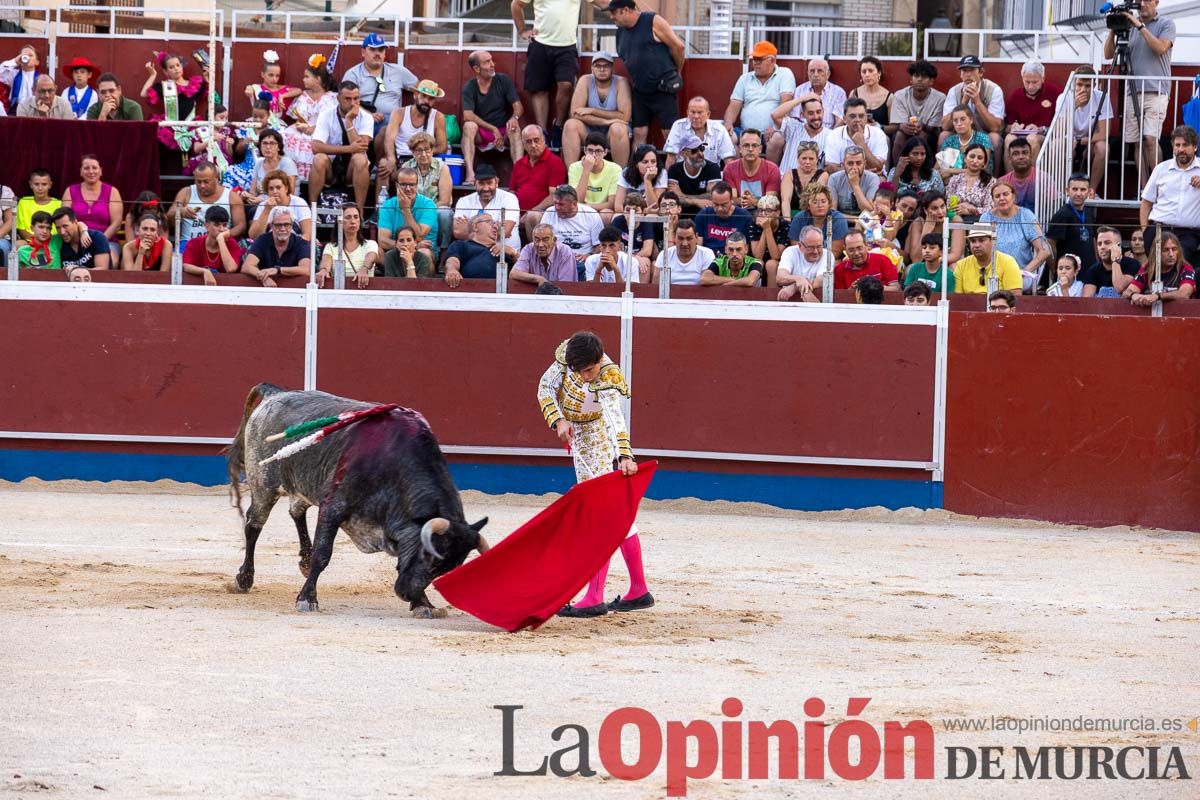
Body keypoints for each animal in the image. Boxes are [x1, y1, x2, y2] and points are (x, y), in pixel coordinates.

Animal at [225, 383, 487, 618]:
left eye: (446, 568)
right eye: (428, 555)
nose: (405, 593)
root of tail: (275, 393)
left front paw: (423, 604)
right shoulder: (333, 507)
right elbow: (323, 553)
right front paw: (307, 599)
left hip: (304, 483)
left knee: (296, 511)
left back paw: (303, 562)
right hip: (264, 484)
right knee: (254, 525)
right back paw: (243, 579)